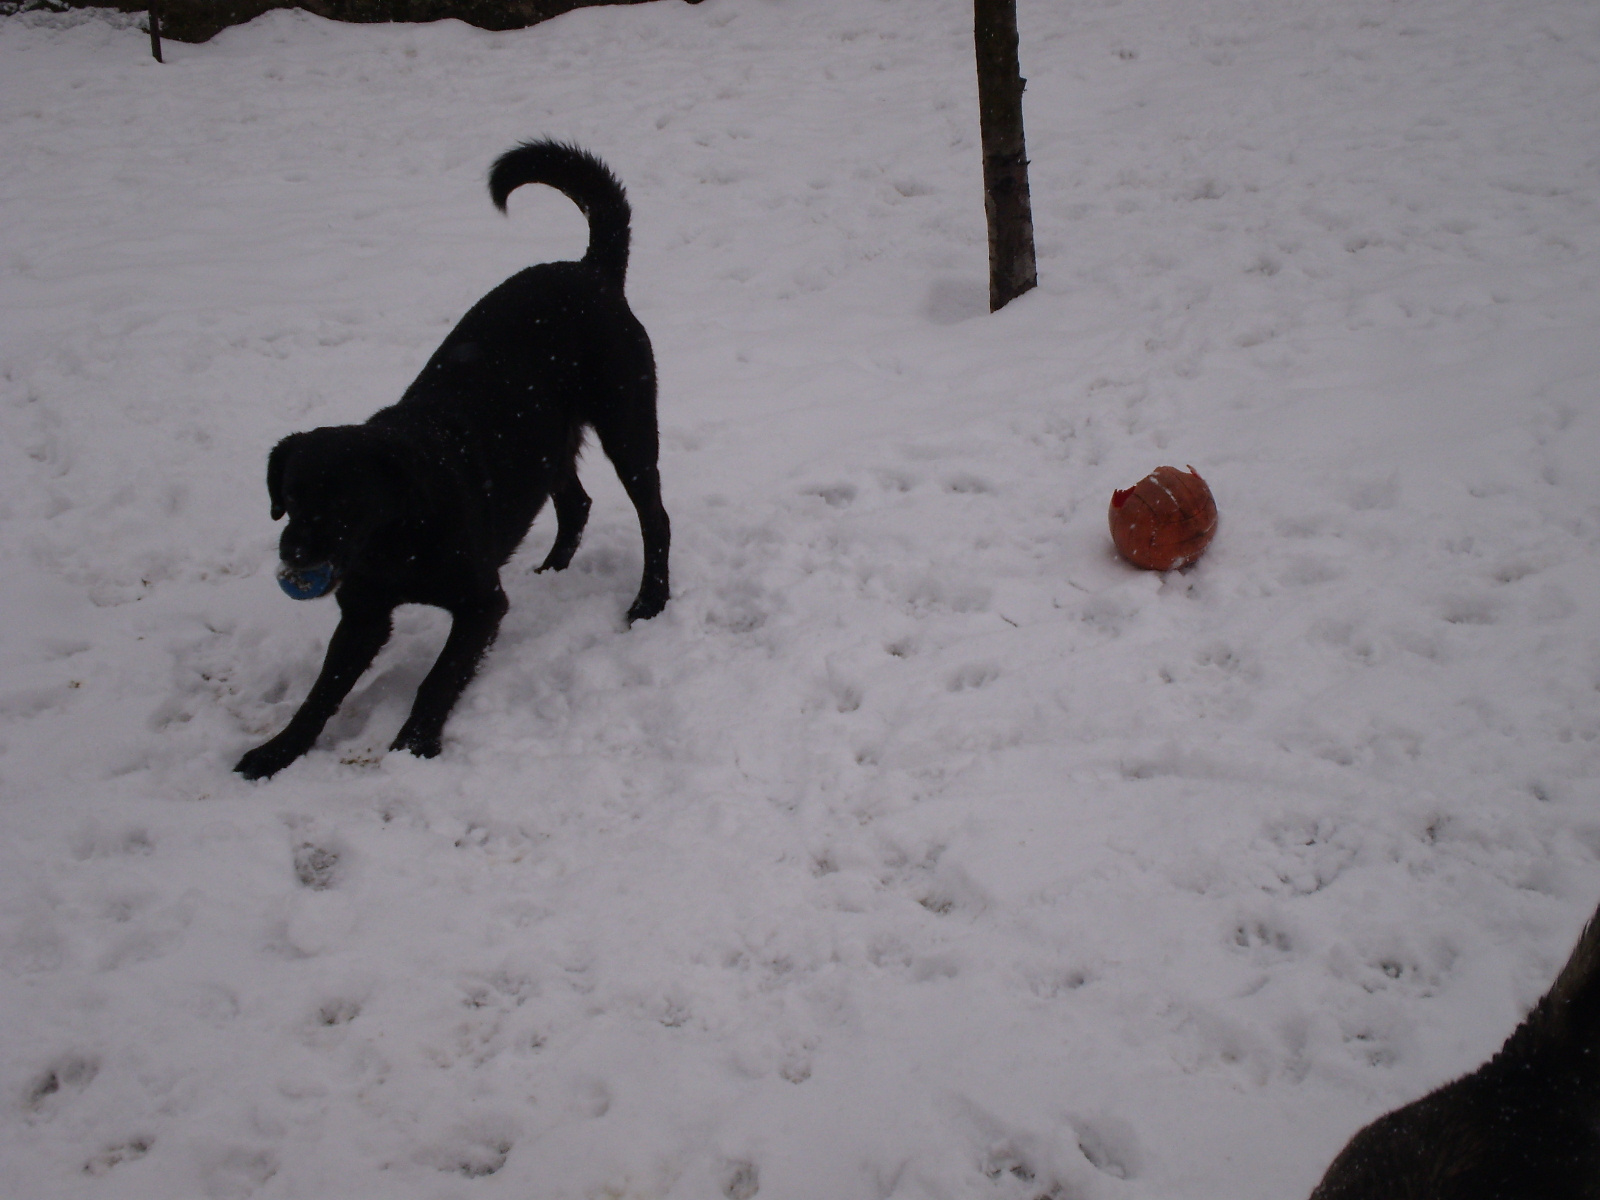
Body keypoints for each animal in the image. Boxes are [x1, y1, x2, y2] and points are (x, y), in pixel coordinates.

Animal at [233, 140, 665, 784]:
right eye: (287, 500)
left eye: (344, 505)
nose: (295, 559)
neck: (398, 534)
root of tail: (591, 270)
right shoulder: (363, 613)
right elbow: (321, 693)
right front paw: (277, 752)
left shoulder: (481, 605)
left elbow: (437, 680)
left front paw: (413, 745)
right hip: (545, 445)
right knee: (577, 502)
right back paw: (552, 570)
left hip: (628, 427)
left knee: (654, 519)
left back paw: (650, 601)